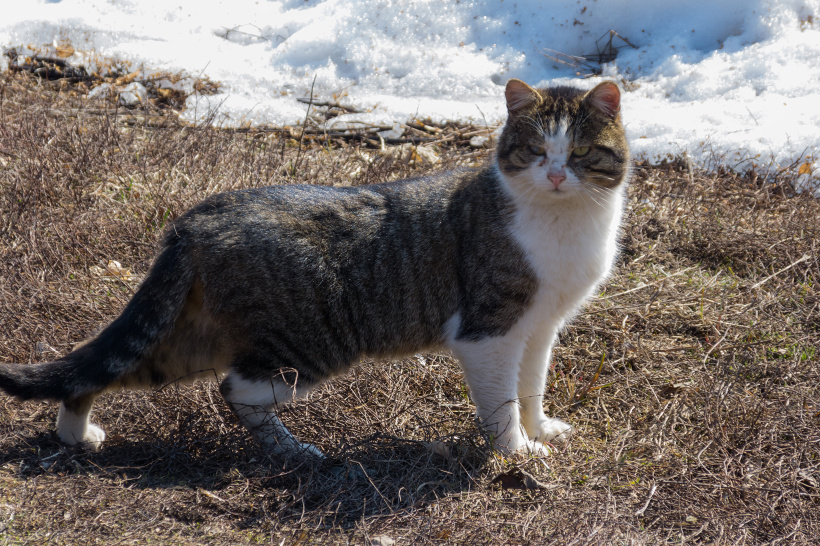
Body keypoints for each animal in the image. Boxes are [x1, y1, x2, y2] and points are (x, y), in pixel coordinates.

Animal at [0, 79, 629, 458]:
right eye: (536, 152)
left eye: (578, 153)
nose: (556, 175)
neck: (564, 222)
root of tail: (201, 215)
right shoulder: (489, 331)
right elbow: (501, 402)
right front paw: (516, 452)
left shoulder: (540, 327)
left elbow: (531, 386)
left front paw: (541, 429)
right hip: (308, 342)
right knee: (238, 388)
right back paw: (294, 452)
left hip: (188, 337)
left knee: (97, 372)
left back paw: (78, 435)